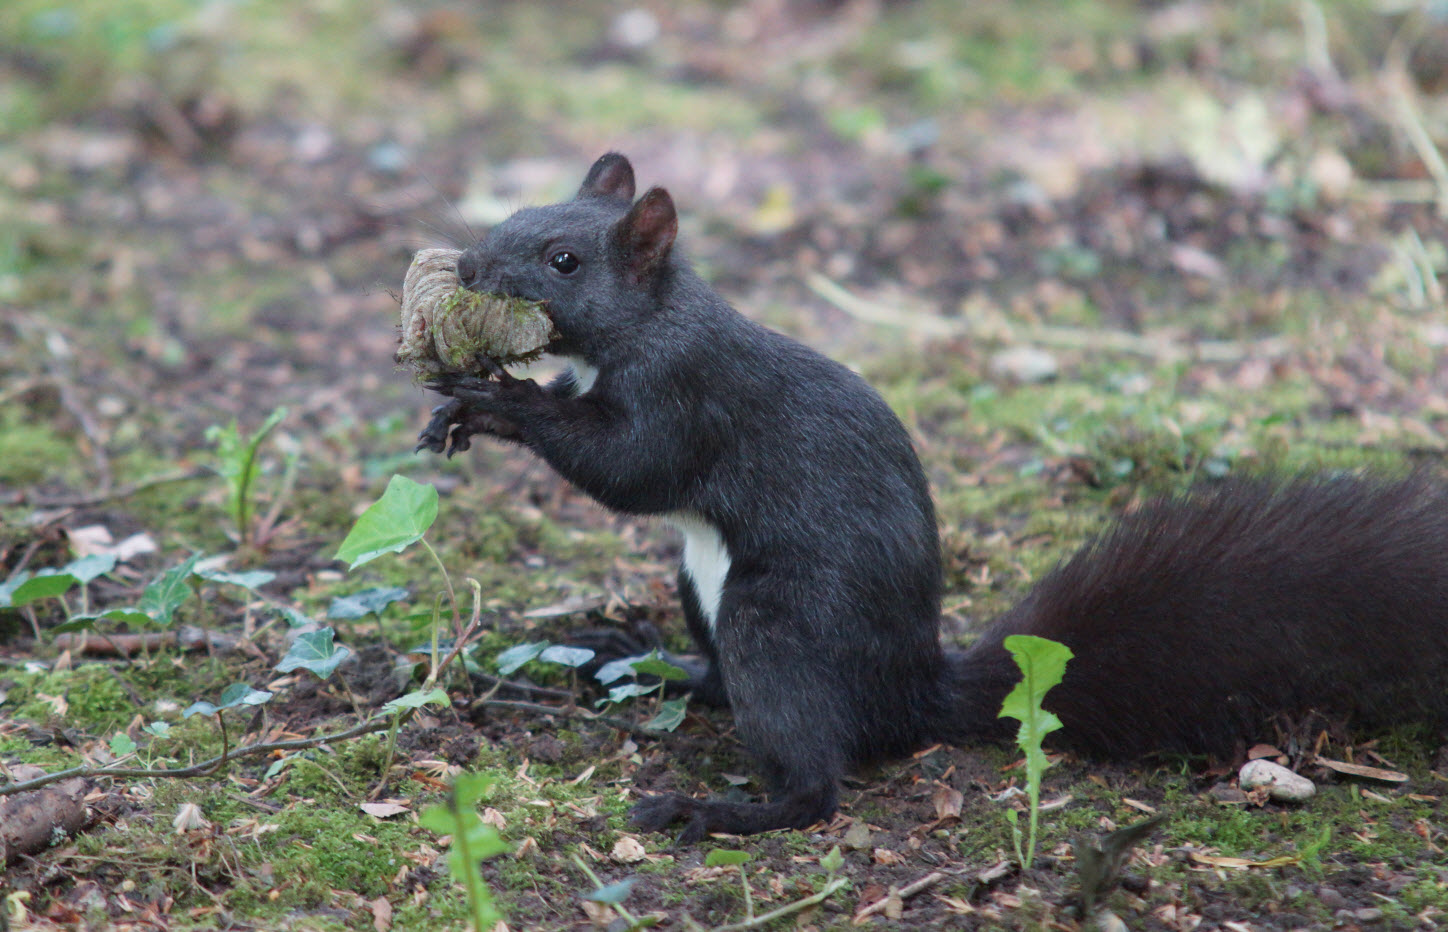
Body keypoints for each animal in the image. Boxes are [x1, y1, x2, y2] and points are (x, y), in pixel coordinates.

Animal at [414, 151, 1448, 839]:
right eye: (511, 216)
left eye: (562, 261)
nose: (466, 268)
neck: (650, 322)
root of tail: (914, 696)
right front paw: (458, 411)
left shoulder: (687, 395)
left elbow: (630, 470)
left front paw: (500, 401)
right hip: (698, 586)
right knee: (717, 684)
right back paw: (640, 661)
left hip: (773, 622)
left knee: (814, 783)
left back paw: (714, 810)